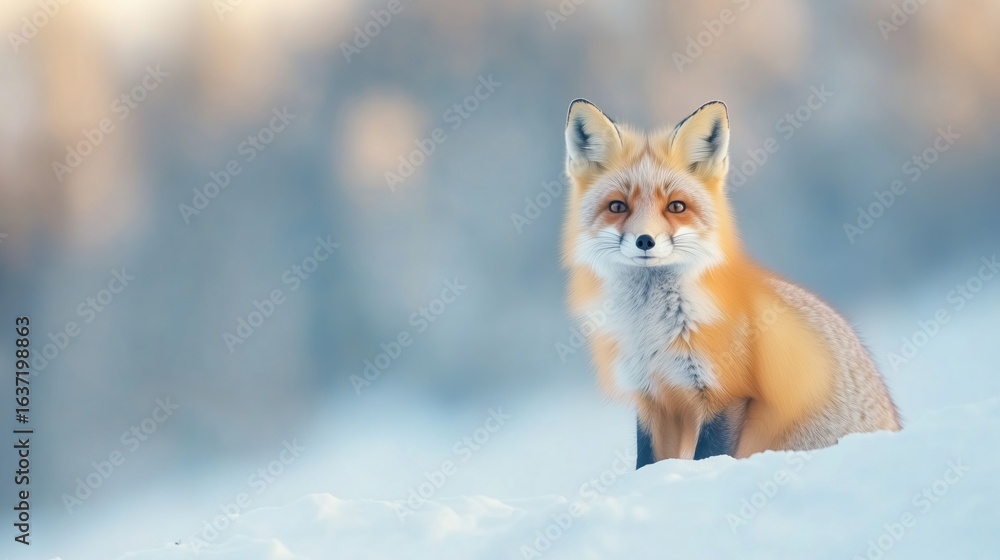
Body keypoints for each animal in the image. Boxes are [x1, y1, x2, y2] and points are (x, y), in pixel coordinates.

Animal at [561, 98, 901, 465]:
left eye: (676, 206)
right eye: (617, 207)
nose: (645, 241)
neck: (652, 331)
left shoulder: (726, 394)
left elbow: (708, 457)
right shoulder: (653, 398)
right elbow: (648, 463)